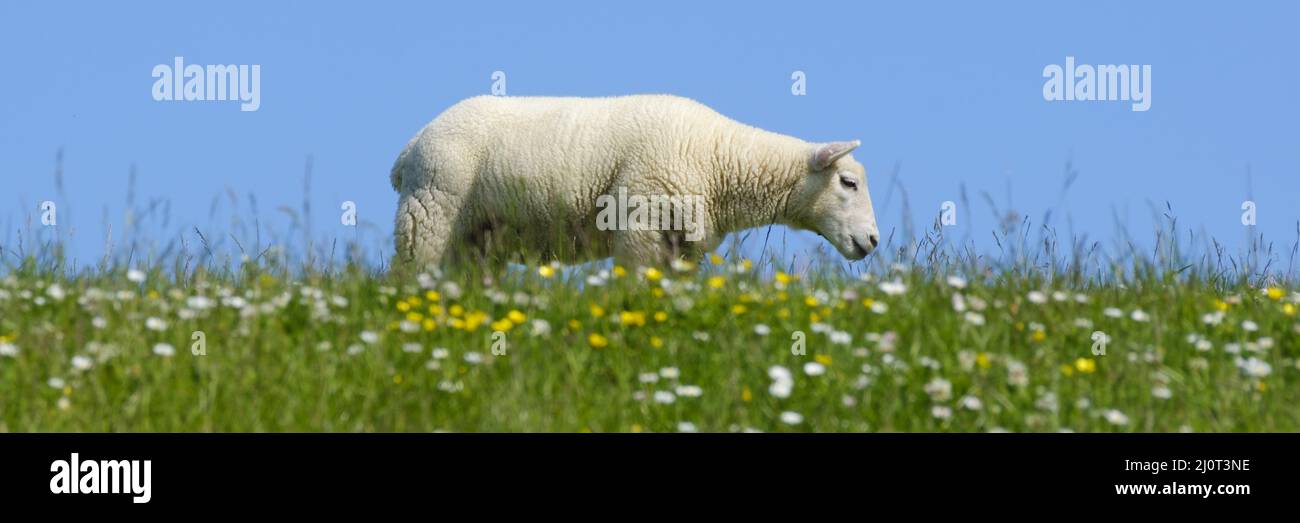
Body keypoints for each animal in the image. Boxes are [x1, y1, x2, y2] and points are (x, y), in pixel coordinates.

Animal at [390, 94, 878, 269]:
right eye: (848, 183)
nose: (873, 241)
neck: (720, 158)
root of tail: (409, 148)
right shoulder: (643, 223)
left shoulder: (683, 244)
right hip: (430, 211)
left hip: (475, 237)